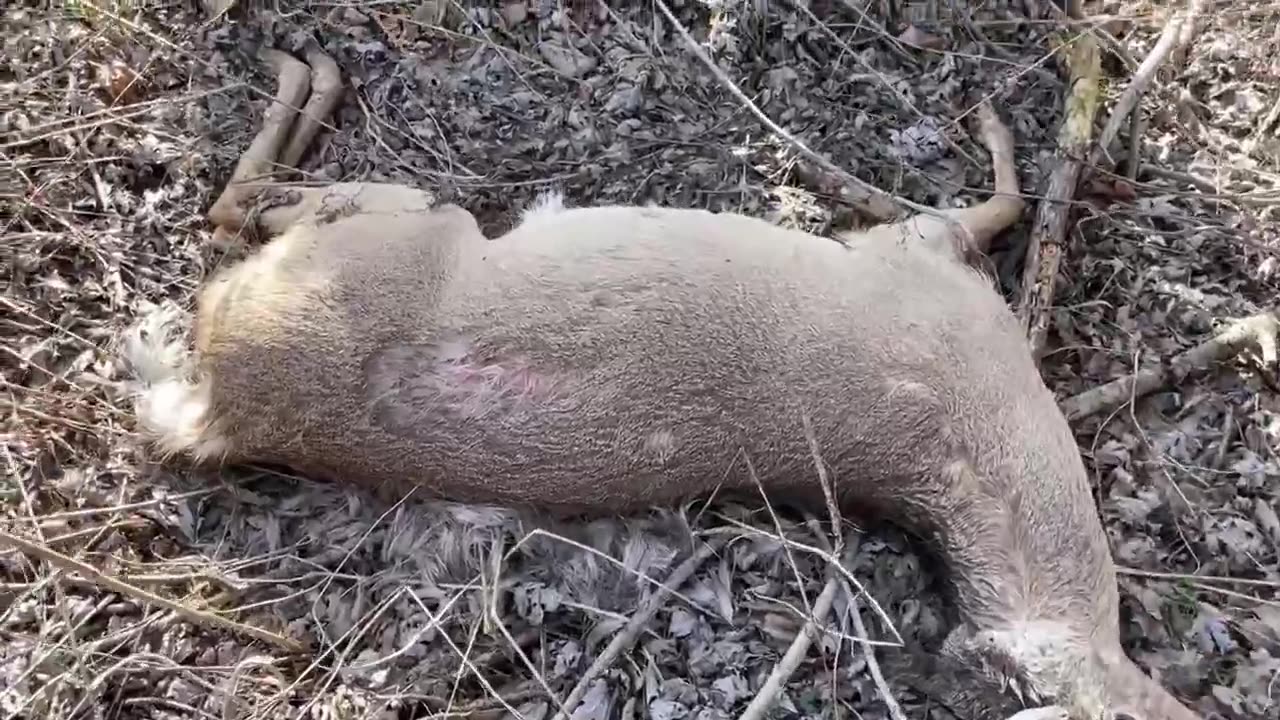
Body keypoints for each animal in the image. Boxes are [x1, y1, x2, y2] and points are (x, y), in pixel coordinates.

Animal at [124, 47, 1203, 717]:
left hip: (394, 233)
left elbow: (993, 203)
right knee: (238, 205)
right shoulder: (921, 251)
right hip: (393, 231)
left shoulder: (922, 256)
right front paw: (991, 119)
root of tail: (226, 406)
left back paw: (302, 72)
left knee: (239, 209)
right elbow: (994, 197)